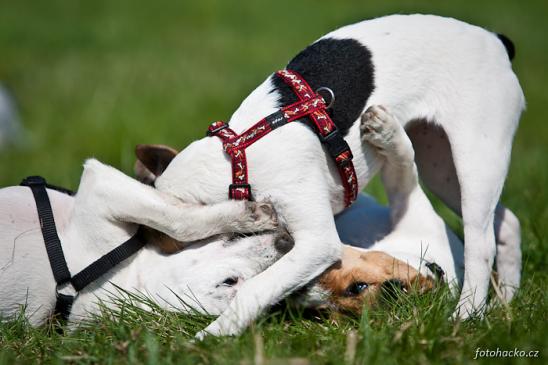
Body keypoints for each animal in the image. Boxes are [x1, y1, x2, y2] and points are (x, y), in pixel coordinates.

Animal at [142, 14, 528, 338]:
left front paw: (214, 335)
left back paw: (467, 315)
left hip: (476, 157)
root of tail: (495, 42)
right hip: (440, 166)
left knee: (481, 243)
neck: (238, 161)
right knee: (507, 223)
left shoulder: (318, 242)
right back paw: (507, 301)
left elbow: (257, 286)